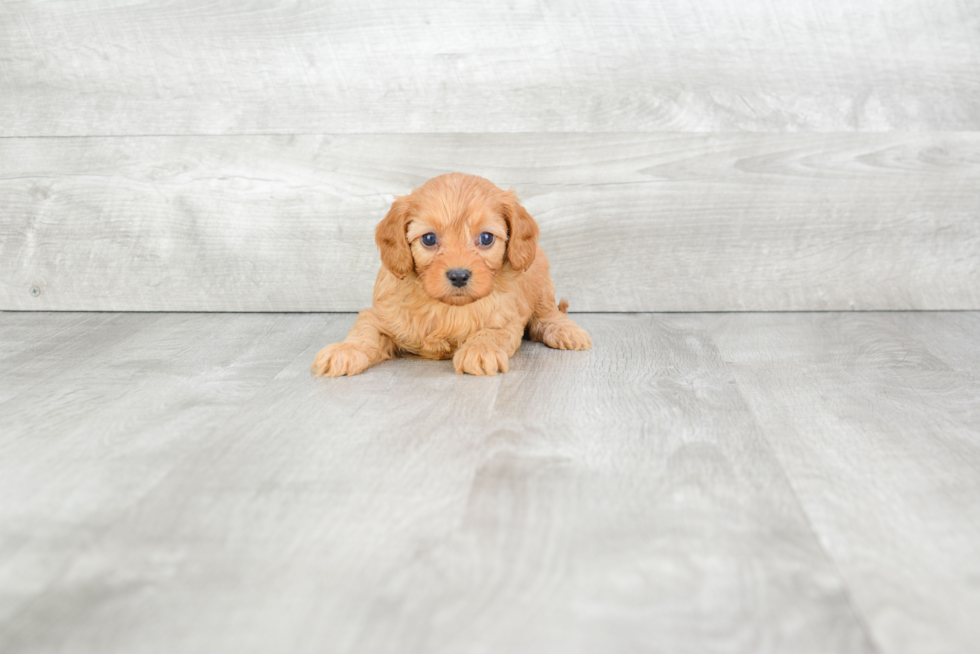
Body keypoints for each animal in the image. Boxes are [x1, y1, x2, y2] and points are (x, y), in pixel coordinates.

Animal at [312, 173, 588, 380]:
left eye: (486, 238)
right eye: (429, 238)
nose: (458, 276)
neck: (446, 307)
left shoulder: (505, 319)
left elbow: (491, 333)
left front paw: (479, 351)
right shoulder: (379, 316)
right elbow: (364, 333)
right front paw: (343, 351)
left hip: (540, 280)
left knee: (547, 314)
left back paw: (566, 331)